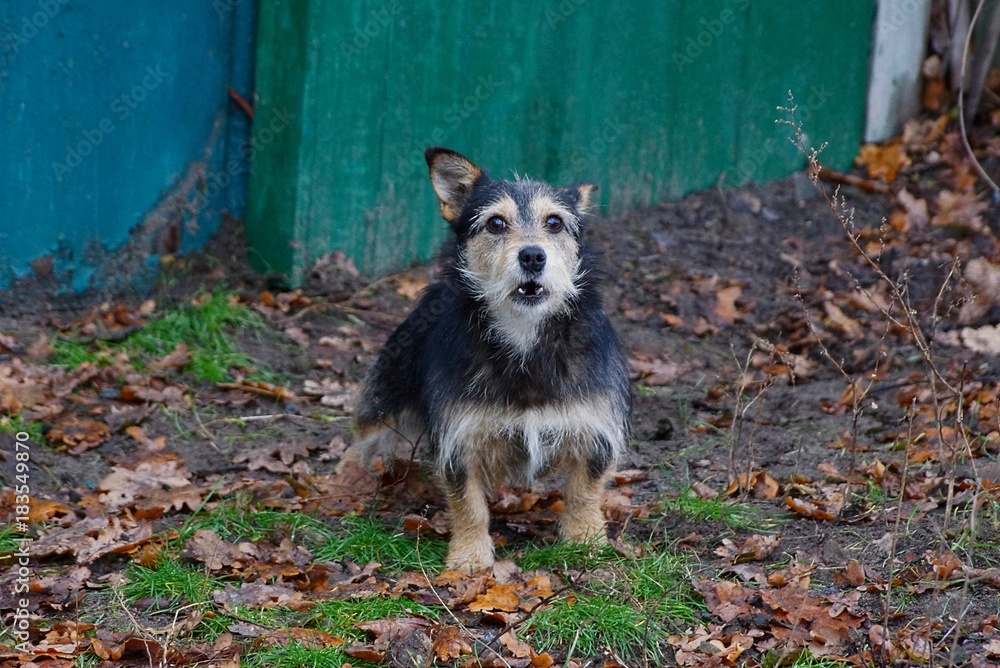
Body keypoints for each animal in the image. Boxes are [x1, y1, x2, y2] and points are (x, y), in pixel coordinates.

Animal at [350, 147, 632, 576]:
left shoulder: (594, 427)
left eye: (555, 222)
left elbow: (585, 491)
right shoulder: (459, 437)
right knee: (360, 442)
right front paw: (469, 557)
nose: (532, 255)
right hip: (382, 396)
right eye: (496, 223)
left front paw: (586, 541)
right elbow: (468, 505)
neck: (524, 338)